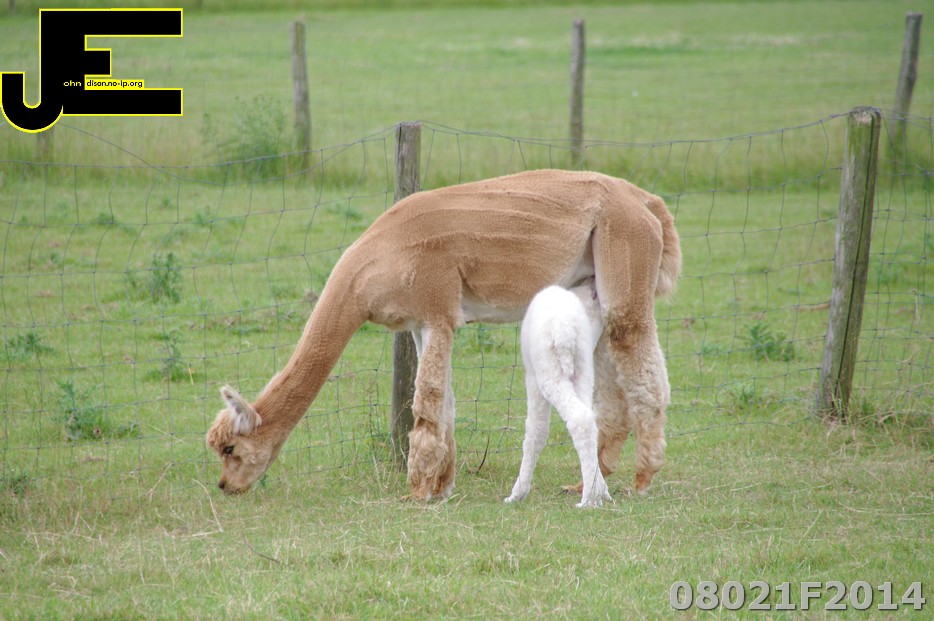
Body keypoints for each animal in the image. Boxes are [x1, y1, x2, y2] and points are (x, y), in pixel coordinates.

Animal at [504, 281, 612, 508]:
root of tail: (564, 329)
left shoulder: (533, 378)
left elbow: (536, 430)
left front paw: (517, 493)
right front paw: (604, 490)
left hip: (549, 373)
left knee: (578, 419)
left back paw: (588, 499)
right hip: (582, 368)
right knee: (589, 419)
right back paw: (594, 492)